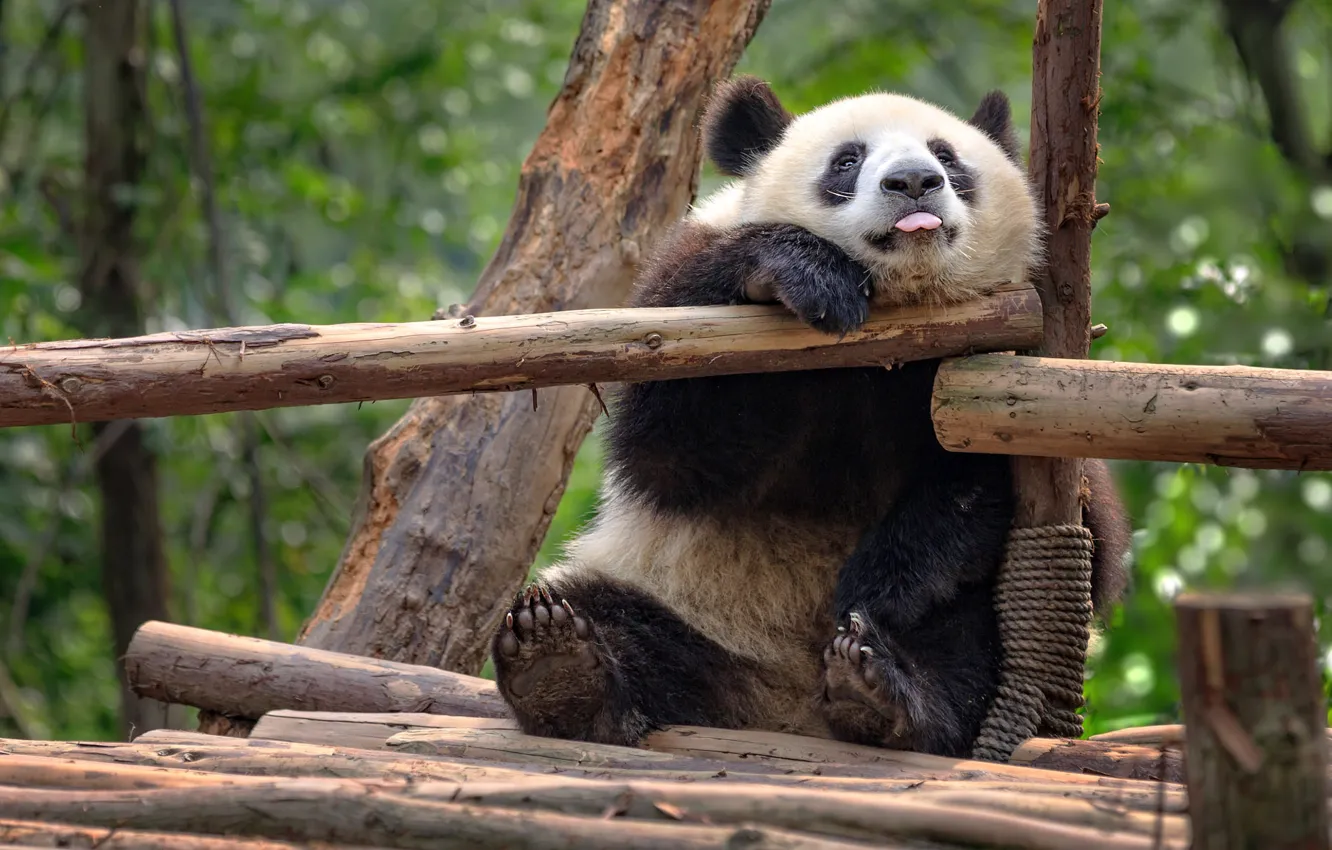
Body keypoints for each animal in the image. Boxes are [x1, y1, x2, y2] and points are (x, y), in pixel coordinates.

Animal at [489, 76, 1131, 758]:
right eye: (846, 160)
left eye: (947, 156)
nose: (913, 181)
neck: (896, 317)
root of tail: (788, 712)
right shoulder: (688, 308)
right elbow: (671, 452)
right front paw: (808, 274)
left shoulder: (1015, 364)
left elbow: (1007, 488)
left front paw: (880, 583)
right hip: (682, 600)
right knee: (609, 613)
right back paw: (560, 666)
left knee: (969, 649)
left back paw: (883, 692)